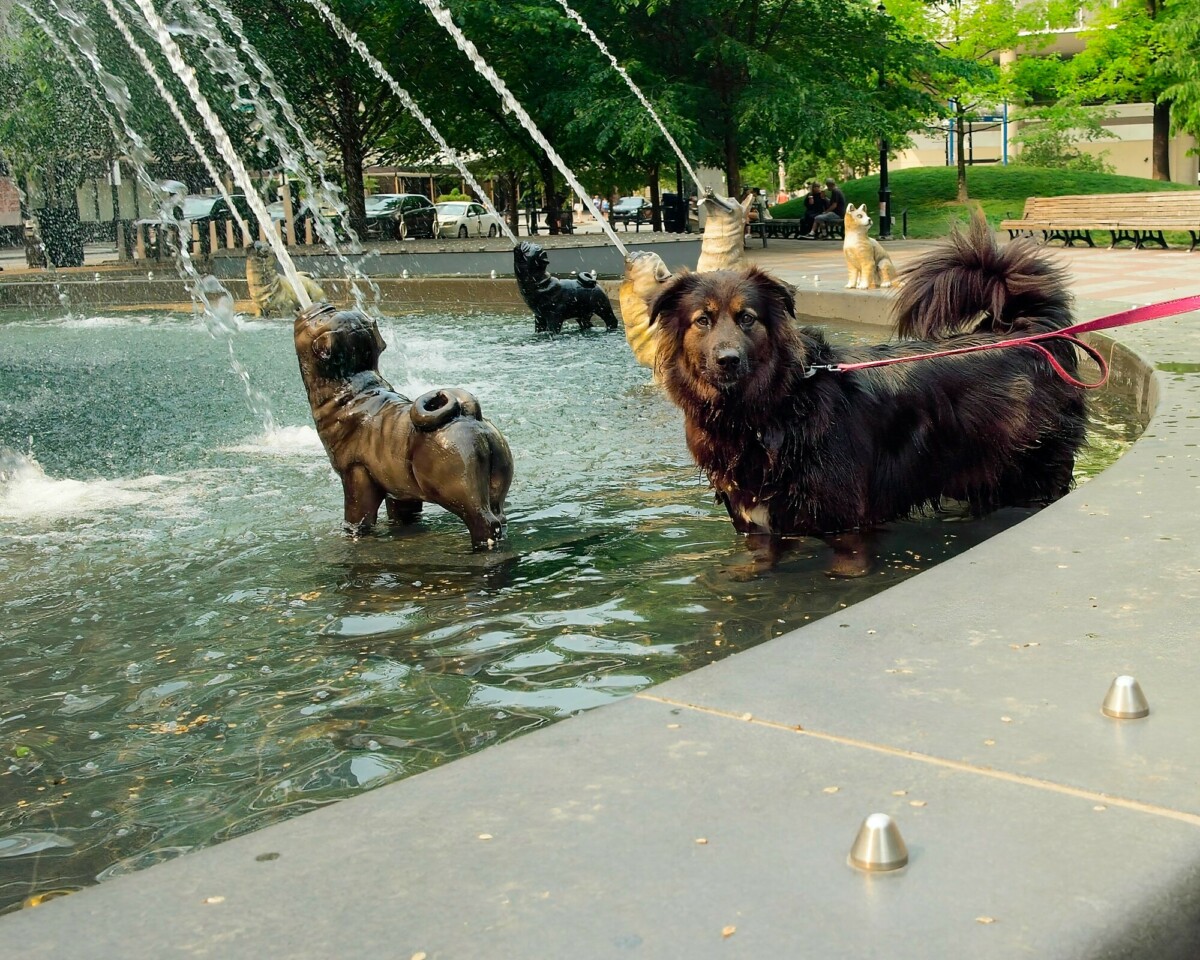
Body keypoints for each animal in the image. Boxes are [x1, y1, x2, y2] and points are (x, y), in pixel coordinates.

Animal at [297, 306, 513, 547]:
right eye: (329, 311)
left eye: (323, 317)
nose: (322, 305)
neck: (352, 393)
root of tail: (469, 415)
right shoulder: (400, 491)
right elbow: (402, 514)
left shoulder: (356, 474)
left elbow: (358, 517)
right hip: (497, 480)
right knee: (499, 516)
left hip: (460, 489)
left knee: (484, 522)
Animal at [652, 216, 1094, 573]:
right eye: (703, 321)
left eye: (747, 318)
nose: (728, 360)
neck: (771, 410)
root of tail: (1029, 333)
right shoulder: (758, 529)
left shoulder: (847, 526)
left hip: (1030, 474)